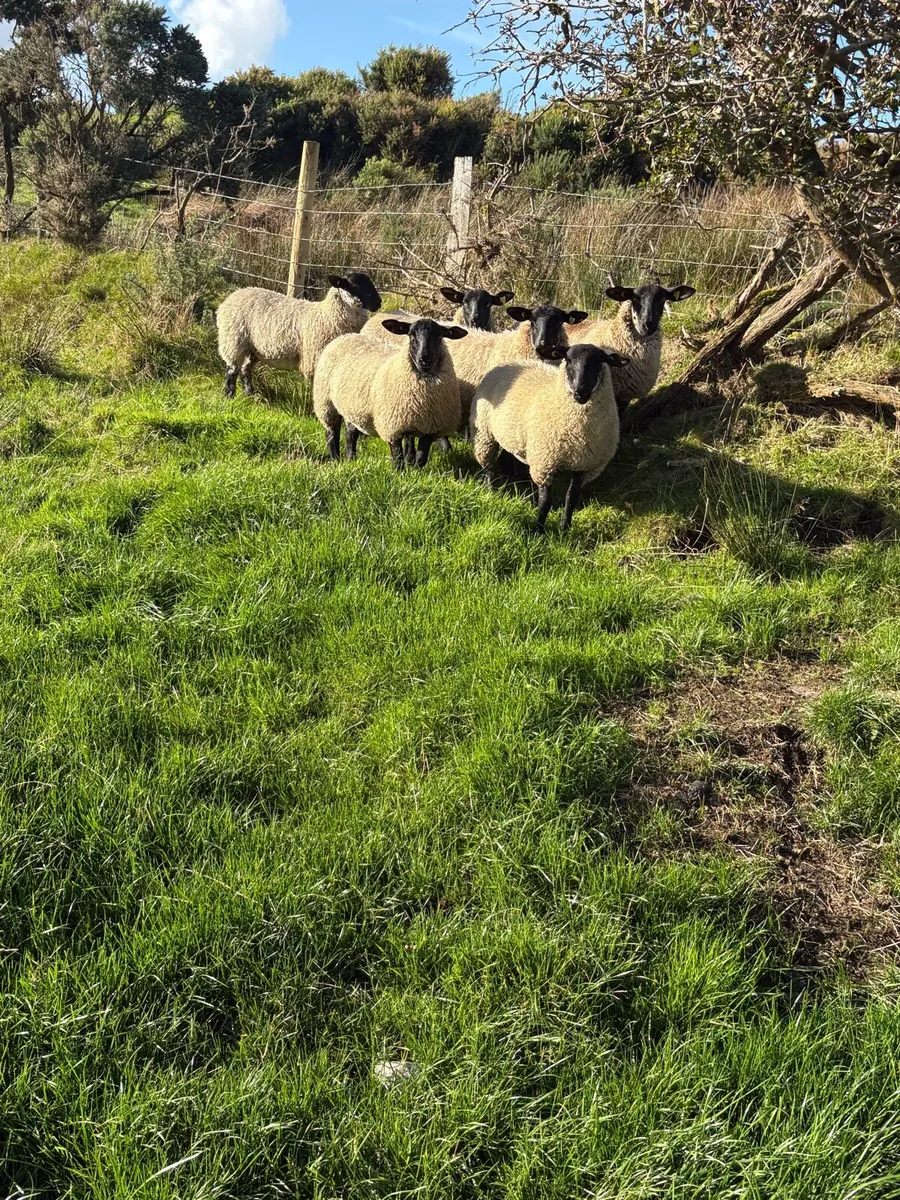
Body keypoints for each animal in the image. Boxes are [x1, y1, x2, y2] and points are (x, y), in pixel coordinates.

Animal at [216, 271, 381, 397]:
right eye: (353, 285)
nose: (378, 302)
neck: (325, 314)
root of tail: (231, 297)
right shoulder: (315, 360)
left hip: (255, 349)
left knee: (245, 369)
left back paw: (250, 394)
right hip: (234, 340)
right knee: (232, 370)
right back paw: (229, 396)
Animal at [313, 317, 467, 469]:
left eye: (440, 337)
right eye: (411, 336)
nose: (424, 360)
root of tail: (345, 336)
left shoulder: (428, 427)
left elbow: (420, 457)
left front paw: (415, 469)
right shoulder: (392, 426)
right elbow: (398, 457)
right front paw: (399, 472)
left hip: (353, 407)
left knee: (351, 434)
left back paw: (351, 459)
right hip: (326, 403)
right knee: (331, 434)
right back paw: (335, 460)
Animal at [470, 343, 629, 534]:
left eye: (599, 362)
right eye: (568, 360)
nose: (580, 392)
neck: (578, 434)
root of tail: (505, 364)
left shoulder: (584, 465)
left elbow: (571, 499)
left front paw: (564, 529)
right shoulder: (544, 463)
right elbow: (545, 503)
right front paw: (537, 531)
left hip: (515, 436)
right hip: (484, 433)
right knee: (489, 467)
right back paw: (491, 491)